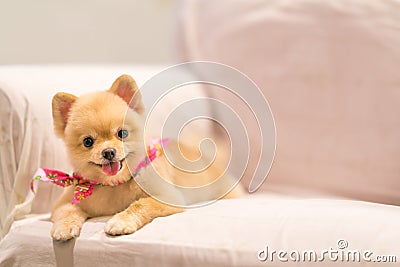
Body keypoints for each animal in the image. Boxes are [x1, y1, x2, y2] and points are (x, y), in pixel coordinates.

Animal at [48, 75, 239, 241]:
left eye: (122, 133)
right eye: (88, 142)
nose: (108, 152)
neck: (114, 184)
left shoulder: (169, 197)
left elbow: (141, 204)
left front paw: (121, 221)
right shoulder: (62, 204)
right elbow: (67, 211)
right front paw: (64, 227)